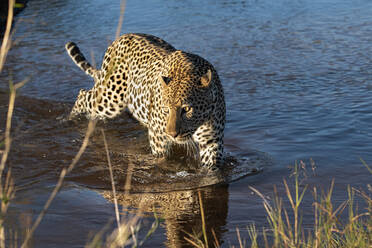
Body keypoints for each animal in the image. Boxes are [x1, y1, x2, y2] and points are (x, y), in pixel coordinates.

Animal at [65, 33, 225, 169]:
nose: (172, 135)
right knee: (83, 95)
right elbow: (162, 161)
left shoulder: (211, 142)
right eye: (166, 109)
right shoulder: (158, 139)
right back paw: (70, 119)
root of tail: (121, 38)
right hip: (110, 98)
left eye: (186, 109)